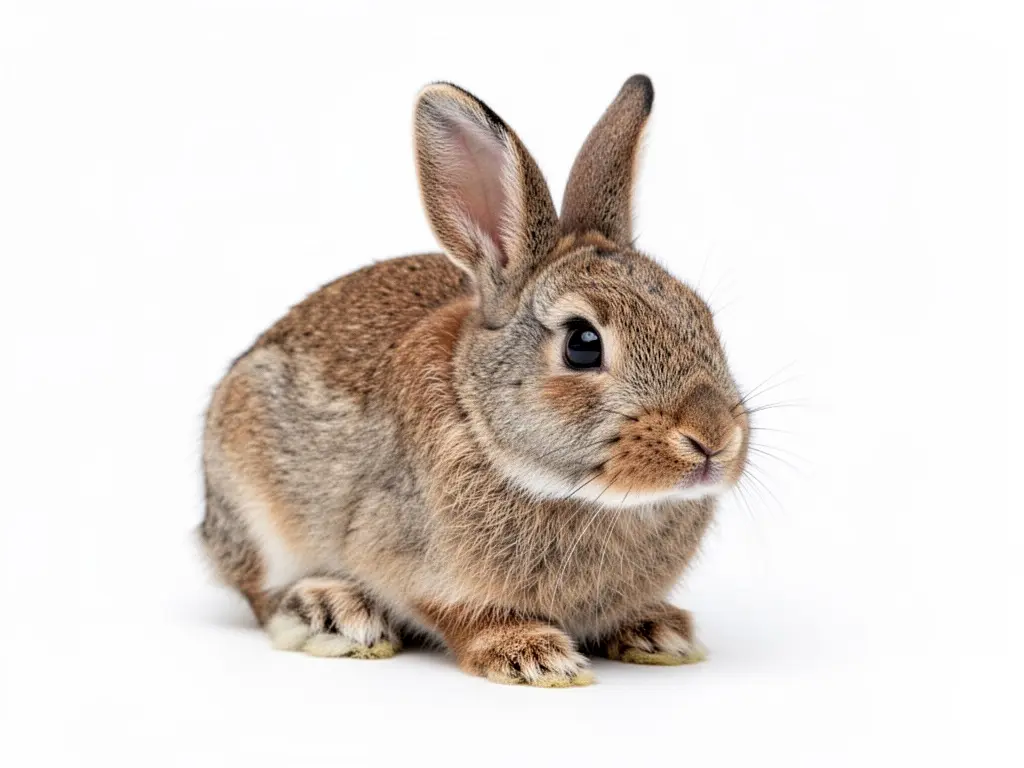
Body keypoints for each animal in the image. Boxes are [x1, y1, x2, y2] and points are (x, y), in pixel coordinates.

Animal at [200, 74, 750, 687]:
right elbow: (461, 614)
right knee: (260, 590)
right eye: (583, 344)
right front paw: (533, 655)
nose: (714, 438)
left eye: (701, 316)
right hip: (253, 500)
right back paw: (331, 611)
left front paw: (656, 630)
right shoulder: (413, 561)